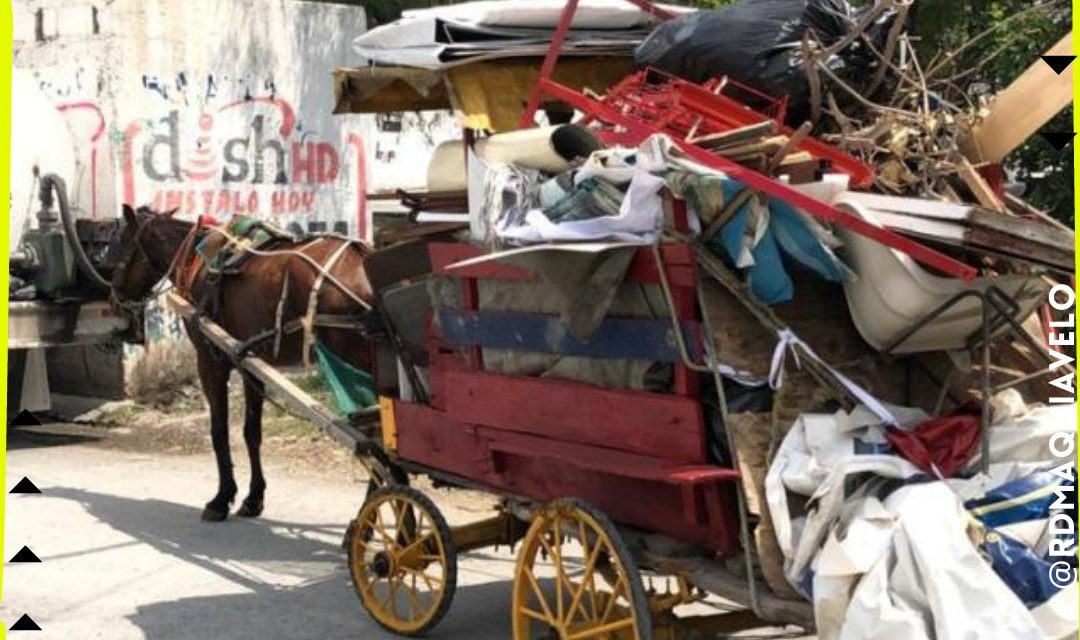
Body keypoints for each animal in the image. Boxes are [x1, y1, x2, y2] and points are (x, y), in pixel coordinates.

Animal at [110, 202, 380, 518]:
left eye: (121, 244)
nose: (113, 299)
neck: (195, 259)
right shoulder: (250, 364)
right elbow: (252, 432)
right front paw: (253, 498)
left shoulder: (210, 361)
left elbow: (219, 431)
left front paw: (221, 498)